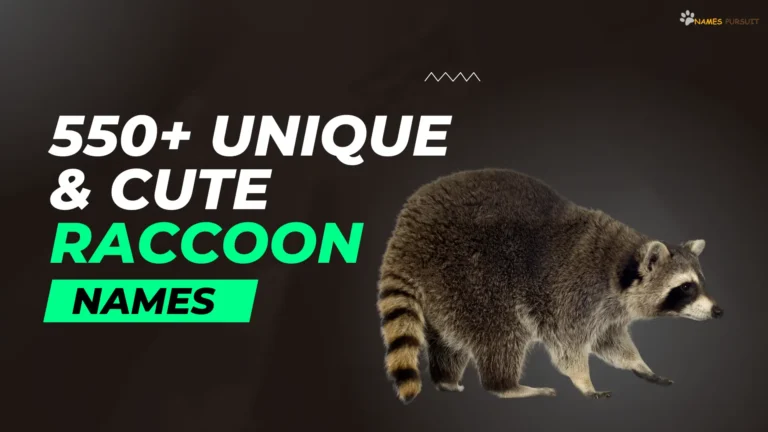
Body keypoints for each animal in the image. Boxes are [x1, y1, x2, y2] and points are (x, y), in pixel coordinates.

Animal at [376, 169, 722, 404]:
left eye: (699, 283)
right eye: (685, 288)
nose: (718, 311)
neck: (619, 264)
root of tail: (404, 234)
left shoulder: (608, 310)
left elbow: (611, 343)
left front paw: (639, 364)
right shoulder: (573, 292)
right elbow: (567, 345)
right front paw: (584, 381)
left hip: (442, 289)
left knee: (449, 338)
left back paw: (446, 378)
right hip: (467, 272)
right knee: (501, 331)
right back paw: (506, 386)